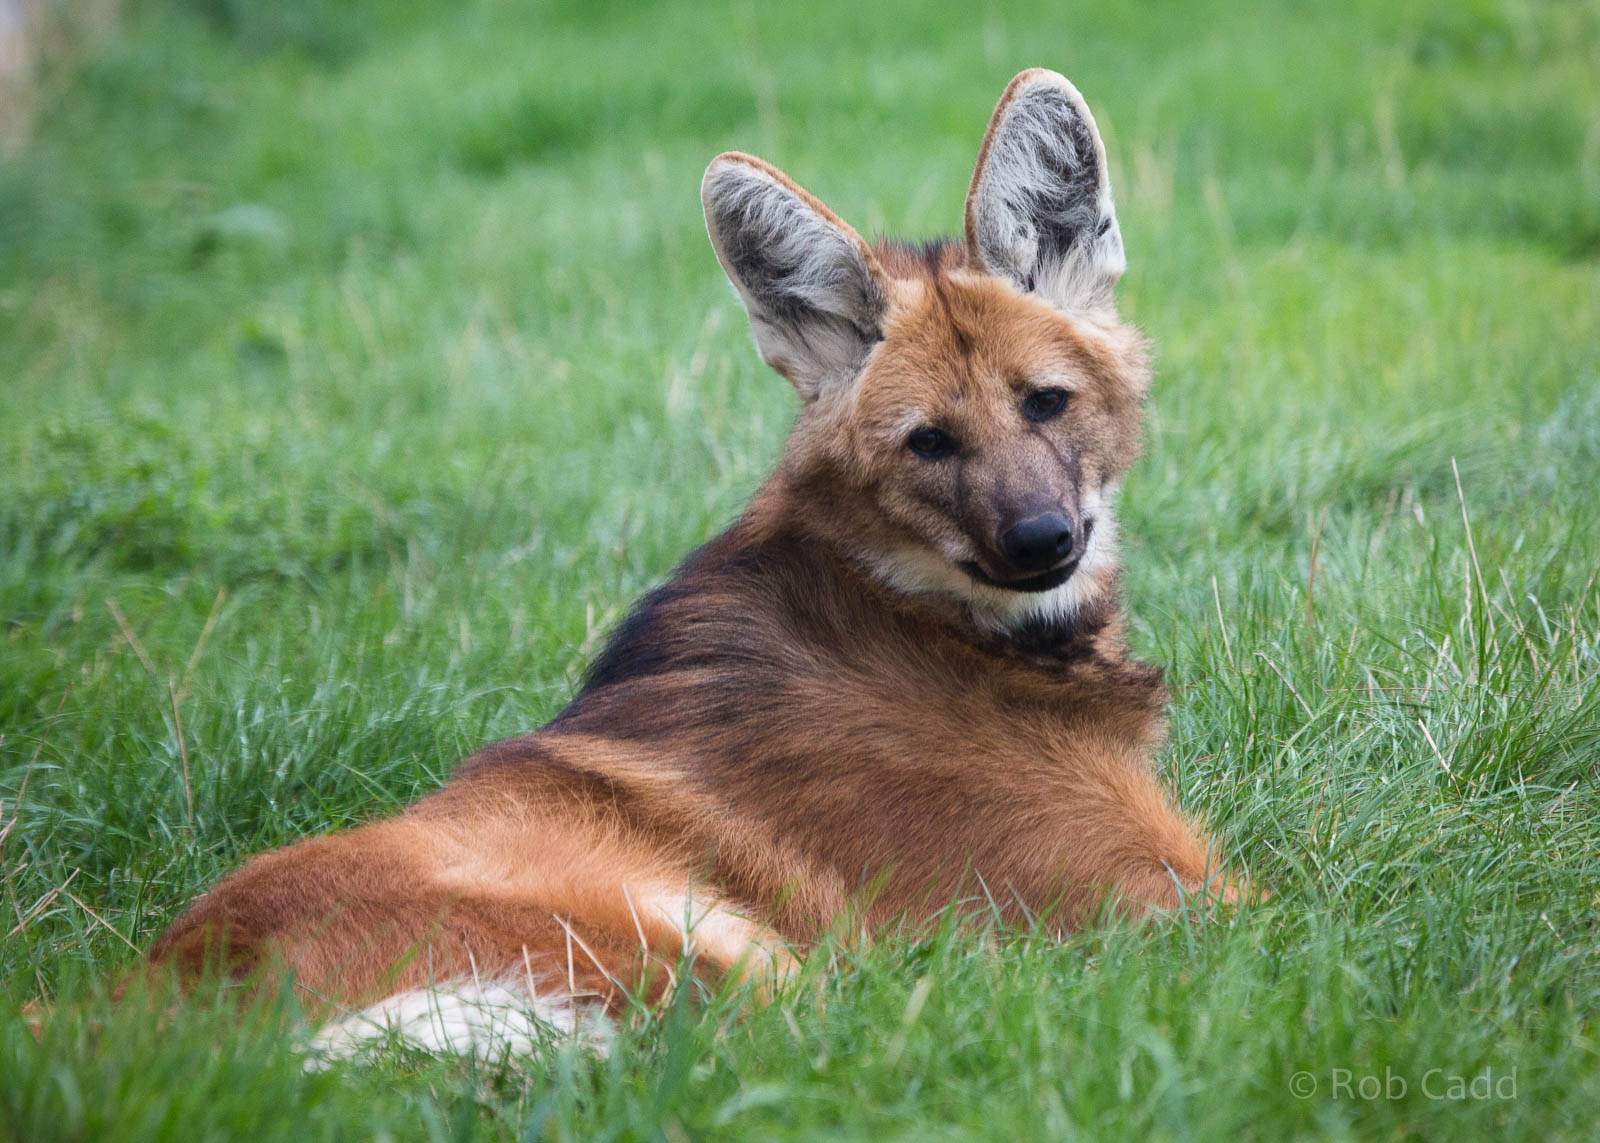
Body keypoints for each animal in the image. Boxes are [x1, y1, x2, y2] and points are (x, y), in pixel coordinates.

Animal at [145, 69, 1247, 1054]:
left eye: (1045, 402)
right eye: (929, 443)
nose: (1041, 541)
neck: (918, 607)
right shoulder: (1167, 901)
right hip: (703, 960)